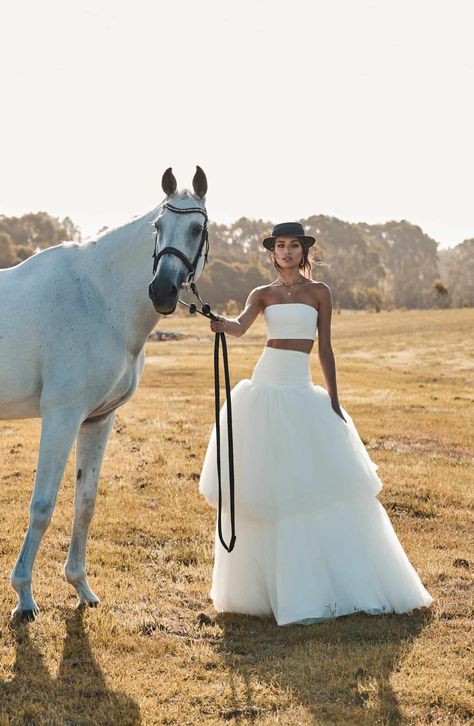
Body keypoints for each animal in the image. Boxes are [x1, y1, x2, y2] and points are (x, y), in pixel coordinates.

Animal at [0, 166, 208, 624]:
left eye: (197, 228)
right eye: (157, 226)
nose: (162, 291)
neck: (97, 296)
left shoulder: (98, 419)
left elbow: (85, 502)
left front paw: (81, 587)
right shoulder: (61, 416)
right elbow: (42, 506)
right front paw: (24, 598)